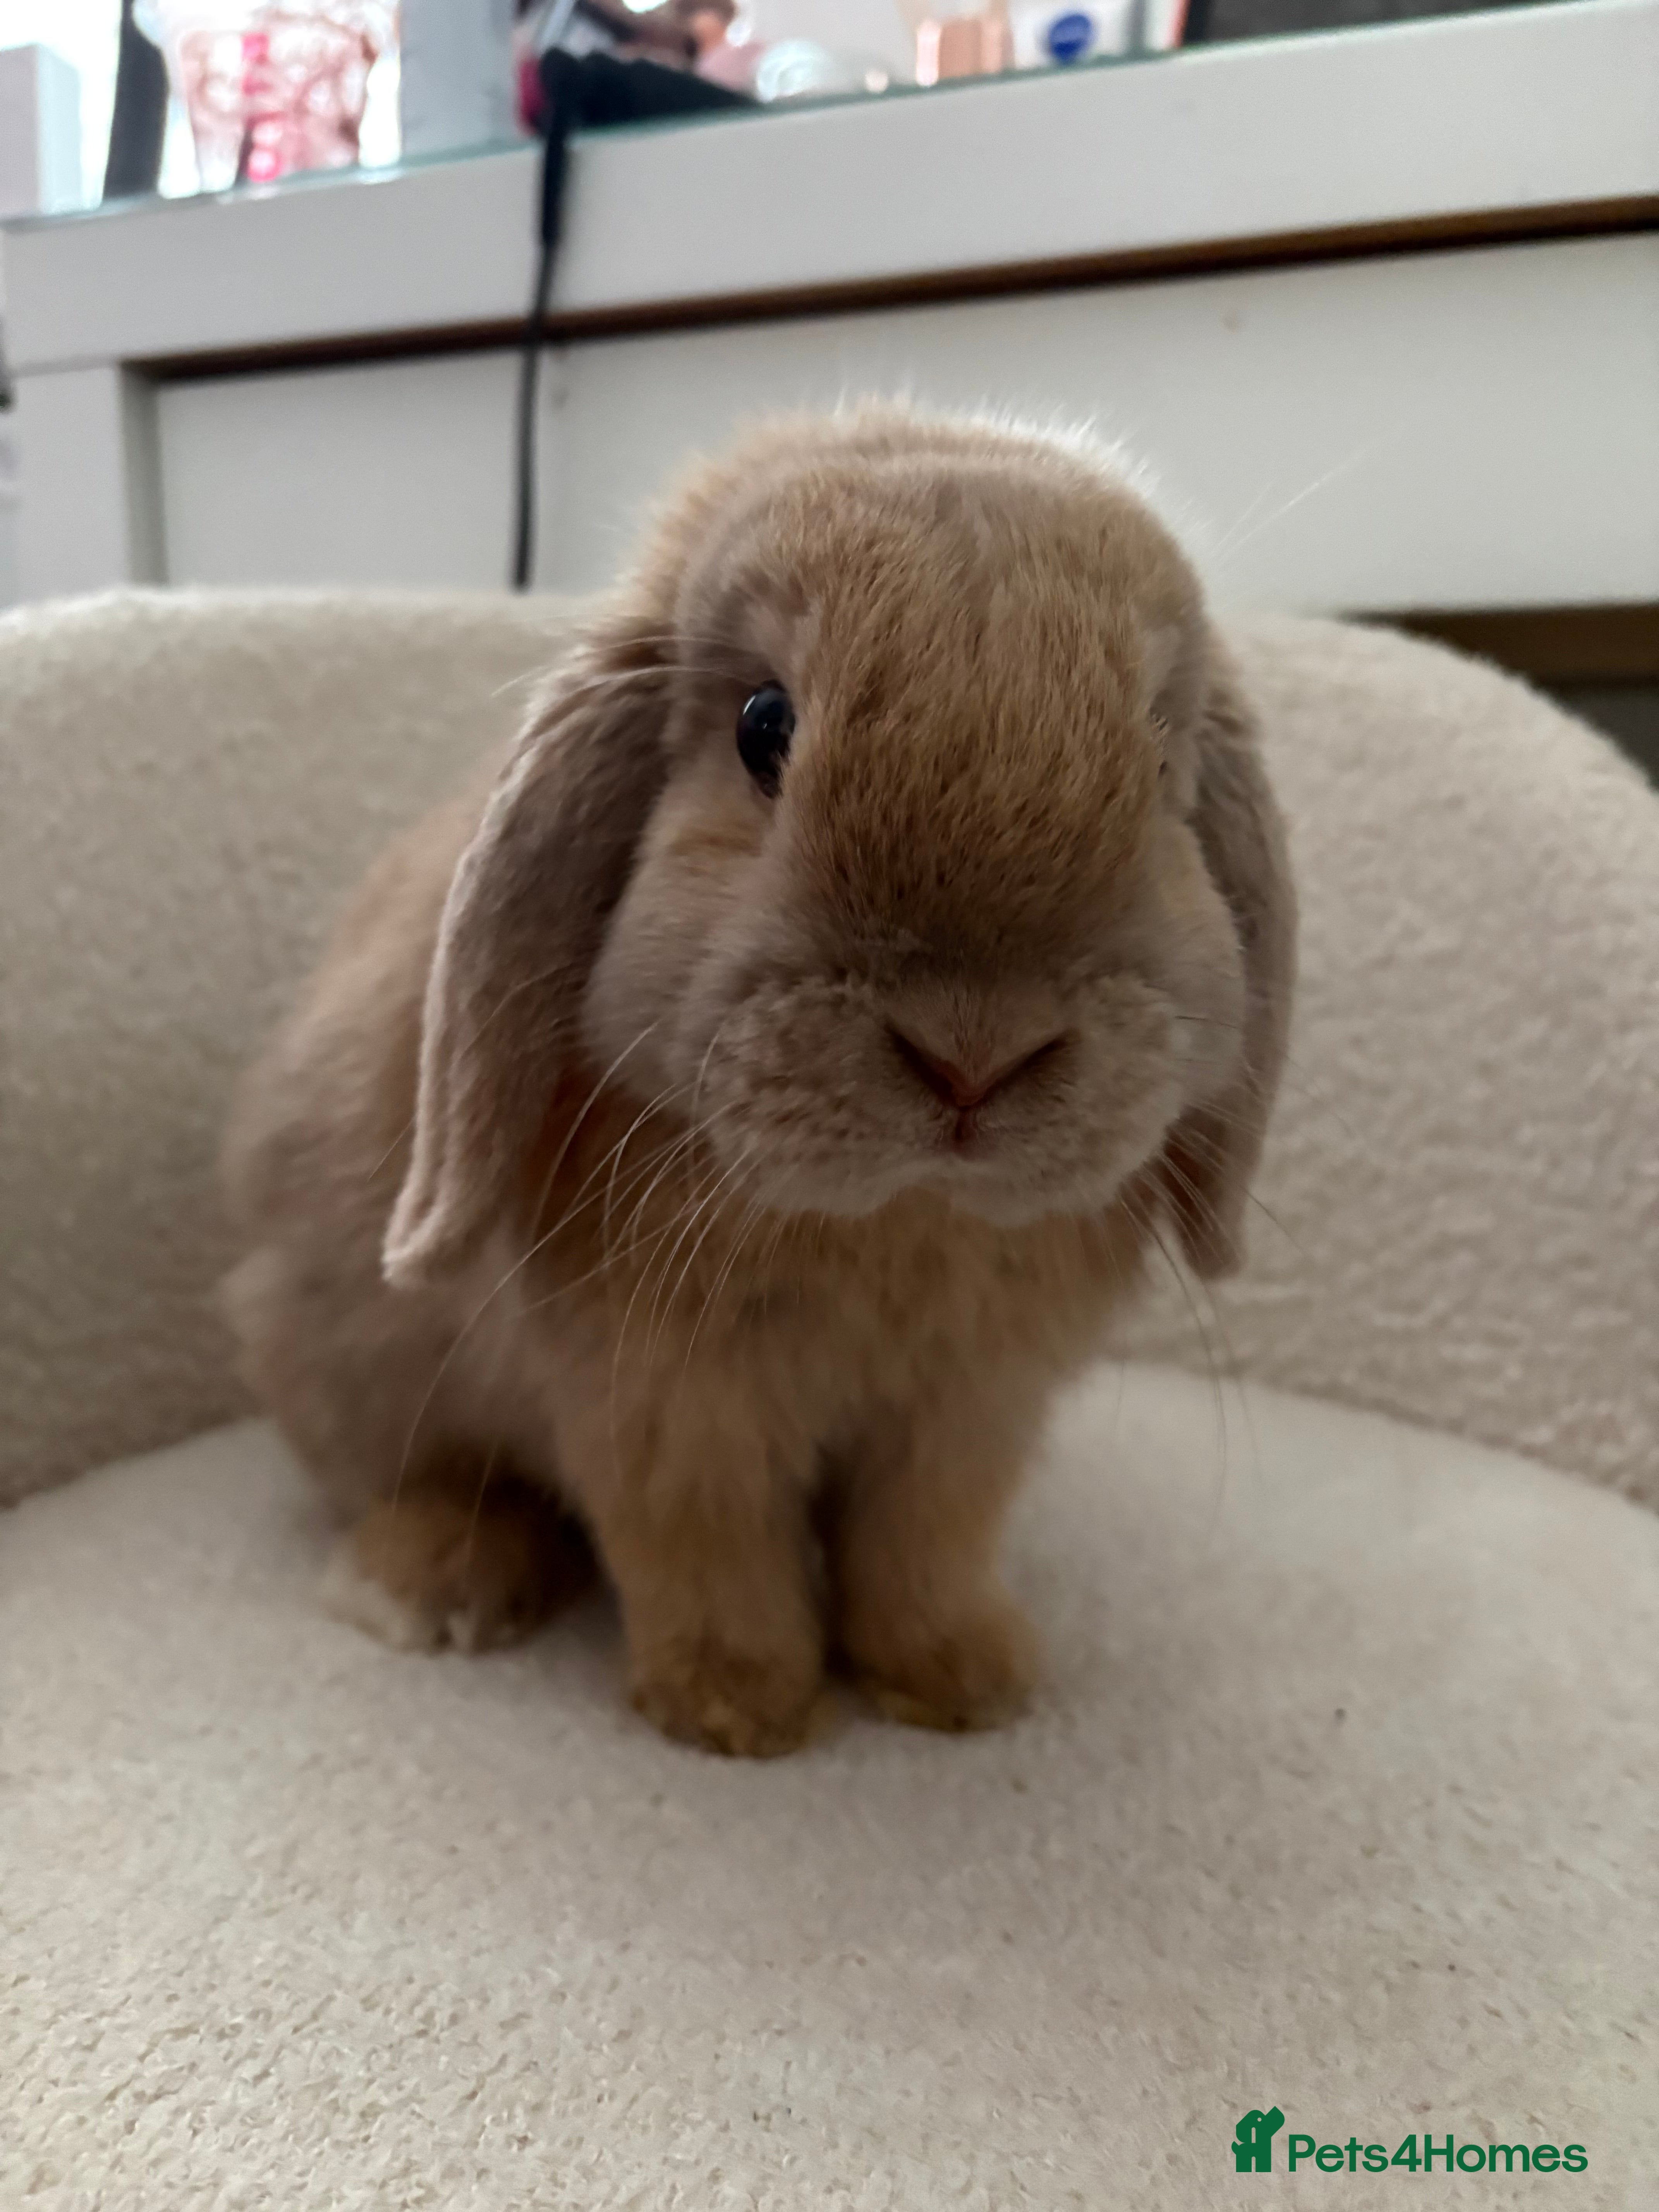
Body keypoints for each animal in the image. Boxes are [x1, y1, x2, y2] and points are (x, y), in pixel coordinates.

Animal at [222, 404, 1295, 1756]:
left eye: (1161, 762)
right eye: (763, 726)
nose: (974, 1056)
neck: (901, 1216)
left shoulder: (964, 1417)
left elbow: (922, 1545)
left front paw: (964, 1681)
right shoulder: (662, 1408)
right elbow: (702, 1549)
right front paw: (736, 1710)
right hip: (338, 1365)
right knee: (431, 1483)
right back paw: (428, 1584)